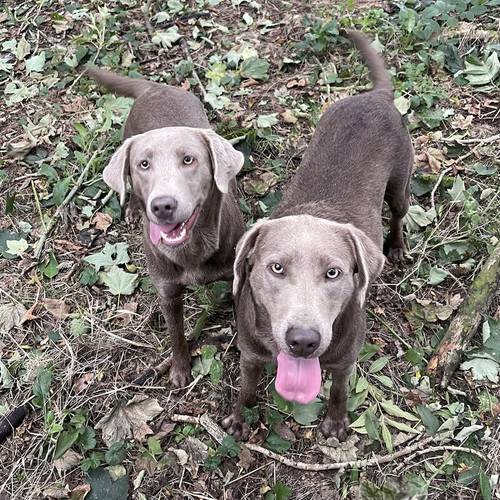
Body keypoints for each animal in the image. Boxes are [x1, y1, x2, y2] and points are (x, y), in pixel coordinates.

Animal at [86, 66, 246, 386]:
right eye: (143, 164)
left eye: (189, 160)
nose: (162, 206)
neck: (192, 249)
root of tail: (154, 88)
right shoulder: (167, 292)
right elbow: (176, 334)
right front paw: (181, 369)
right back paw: (132, 208)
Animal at [223, 29, 410, 440]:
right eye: (276, 268)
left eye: (333, 272)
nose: (303, 341)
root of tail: (375, 96)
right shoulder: (250, 352)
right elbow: (245, 387)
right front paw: (240, 417)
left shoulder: (344, 360)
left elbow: (339, 390)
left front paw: (336, 423)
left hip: (401, 182)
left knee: (399, 213)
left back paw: (398, 246)